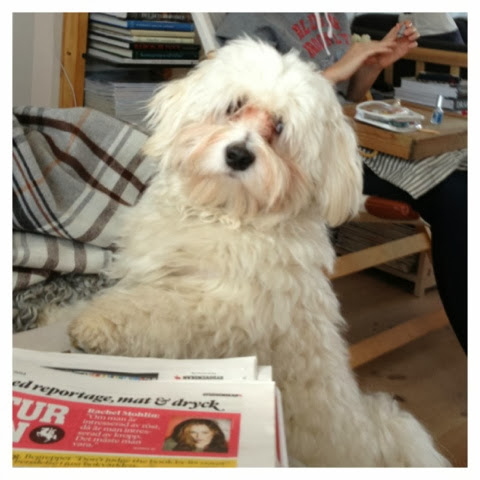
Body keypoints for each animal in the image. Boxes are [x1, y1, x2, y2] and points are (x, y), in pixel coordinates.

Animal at [62, 38, 450, 467]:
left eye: (280, 127)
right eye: (234, 106)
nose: (238, 155)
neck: (225, 215)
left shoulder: (224, 309)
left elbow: (155, 309)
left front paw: (96, 323)